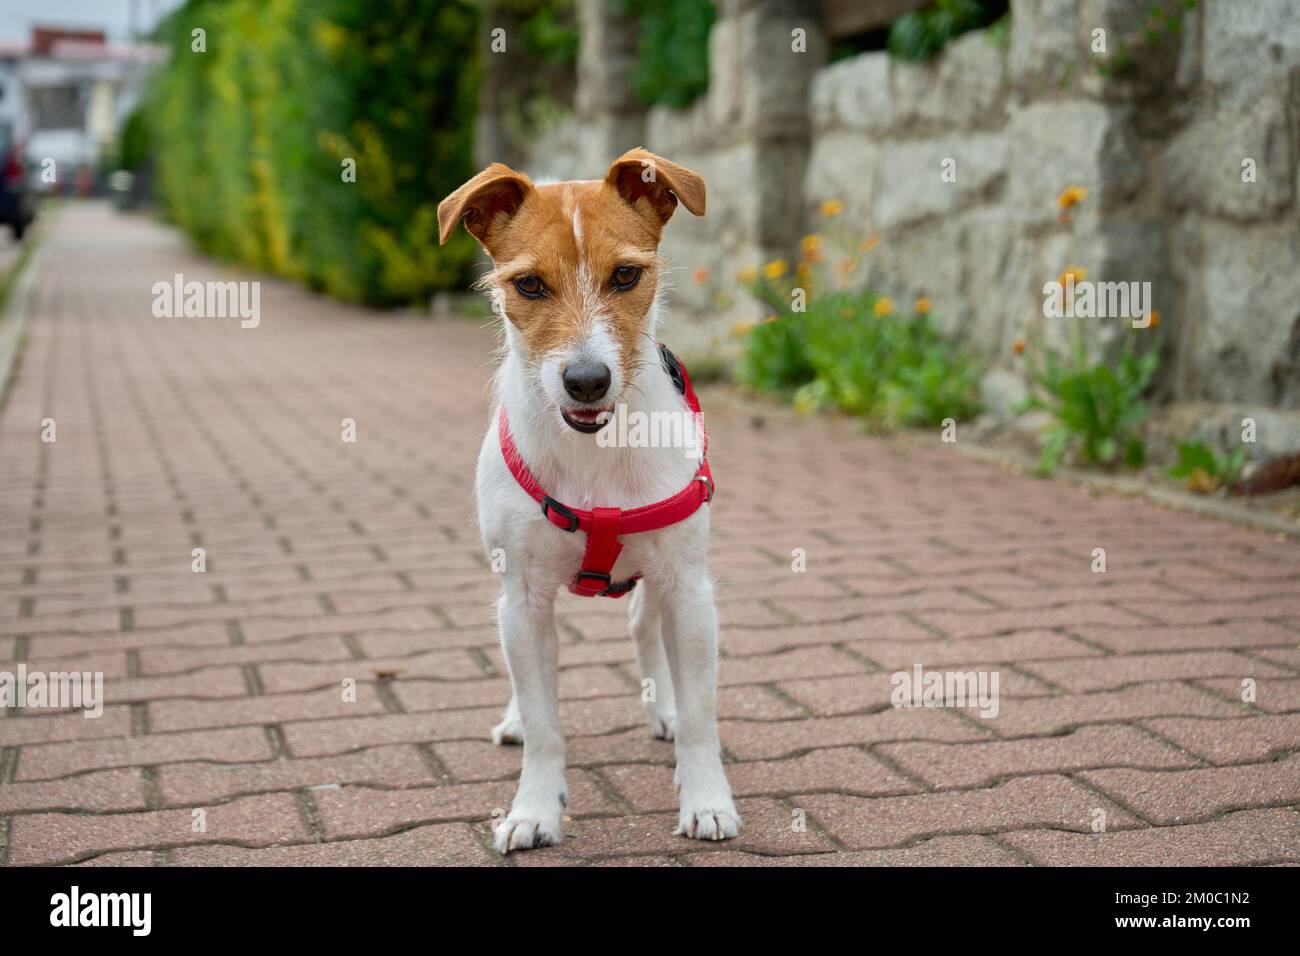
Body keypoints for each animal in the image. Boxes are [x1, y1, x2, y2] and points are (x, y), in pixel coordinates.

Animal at [439, 151, 738, 858]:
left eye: (626, 275)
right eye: (528, 286)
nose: (586, 381)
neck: (595, 450)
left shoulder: (689, 589)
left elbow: (701, 717)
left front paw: (706, 797)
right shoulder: (522, 597)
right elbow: (546, 725)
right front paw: (534, 810)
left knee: (644, 631)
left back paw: (663, 710)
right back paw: (516, 719)